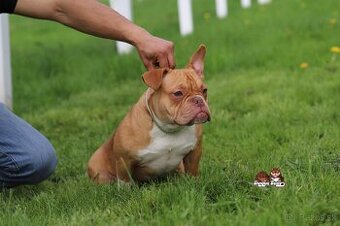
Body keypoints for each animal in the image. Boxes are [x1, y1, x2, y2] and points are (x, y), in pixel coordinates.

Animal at [87, 44, 210, 184]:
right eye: (178, 93)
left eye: (204, 90)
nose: (198, 100)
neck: (169, 128)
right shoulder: (124, 160)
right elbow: (125, 181)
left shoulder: (194, 152)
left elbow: (192, 171)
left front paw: (193, 182)